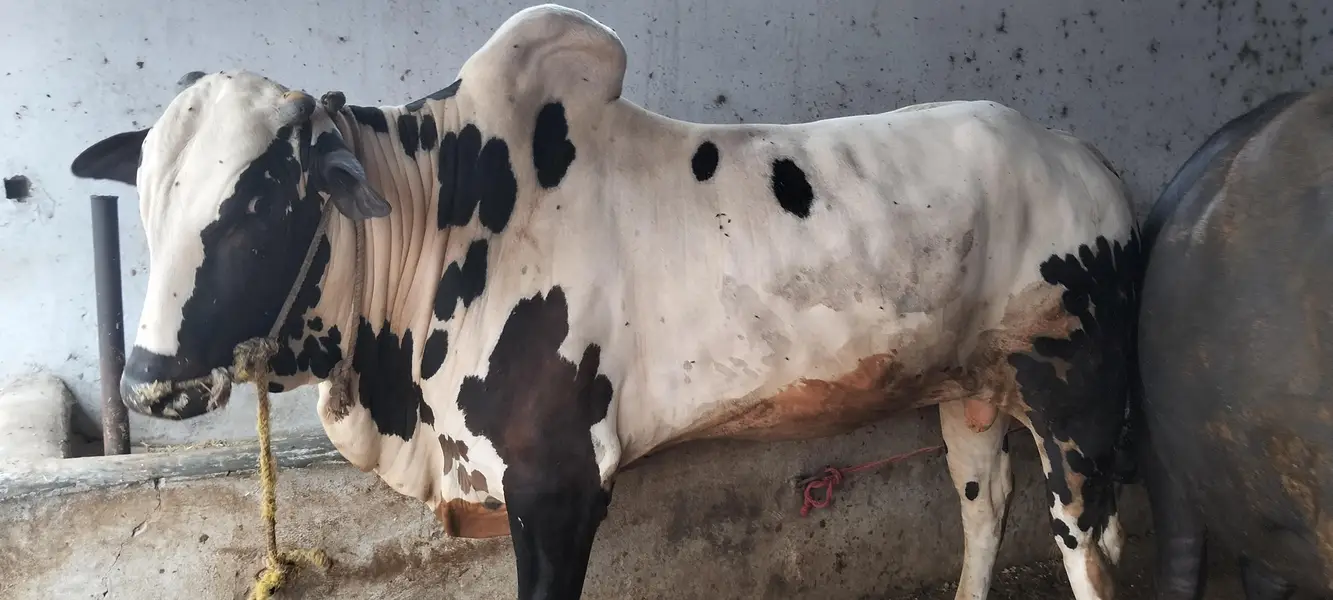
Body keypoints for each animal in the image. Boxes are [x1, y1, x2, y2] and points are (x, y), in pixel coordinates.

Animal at [69, 5, 1141, 599]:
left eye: (261, 205)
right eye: (148, 199)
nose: (152, 381)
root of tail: (1078, 153)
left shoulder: (559, 480)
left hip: (1076, 405)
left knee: (1087, 550)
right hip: (971, 392)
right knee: (983, 513)